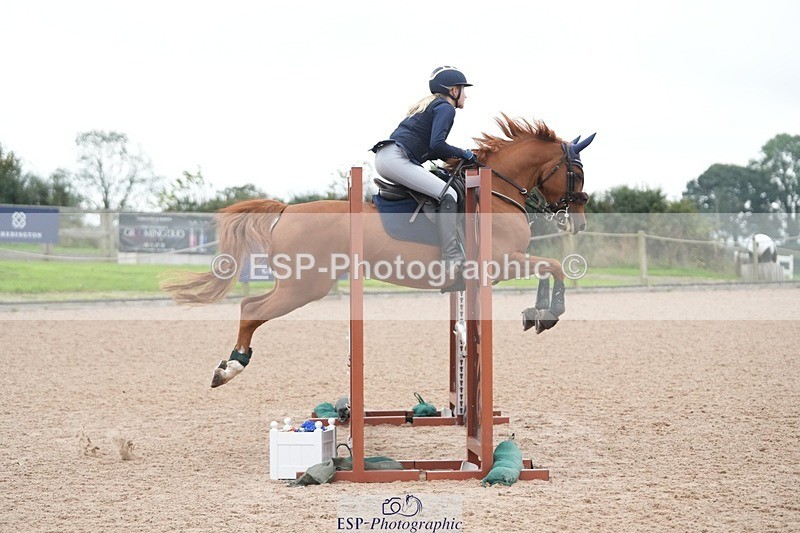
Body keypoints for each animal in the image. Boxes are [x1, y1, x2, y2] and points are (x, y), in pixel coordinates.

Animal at [161, 115, 595, 387]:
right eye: (576, 172)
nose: (577, 222)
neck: (495, 193)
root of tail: (286, 210)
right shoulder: (501, 263)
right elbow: (554, 266)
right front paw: (548, 315)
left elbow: (548, 268)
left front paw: (535, 313)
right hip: (305, 286)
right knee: (252, 309)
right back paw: (230, 369)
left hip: (298, 284)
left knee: (249, 305)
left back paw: (229, 366)